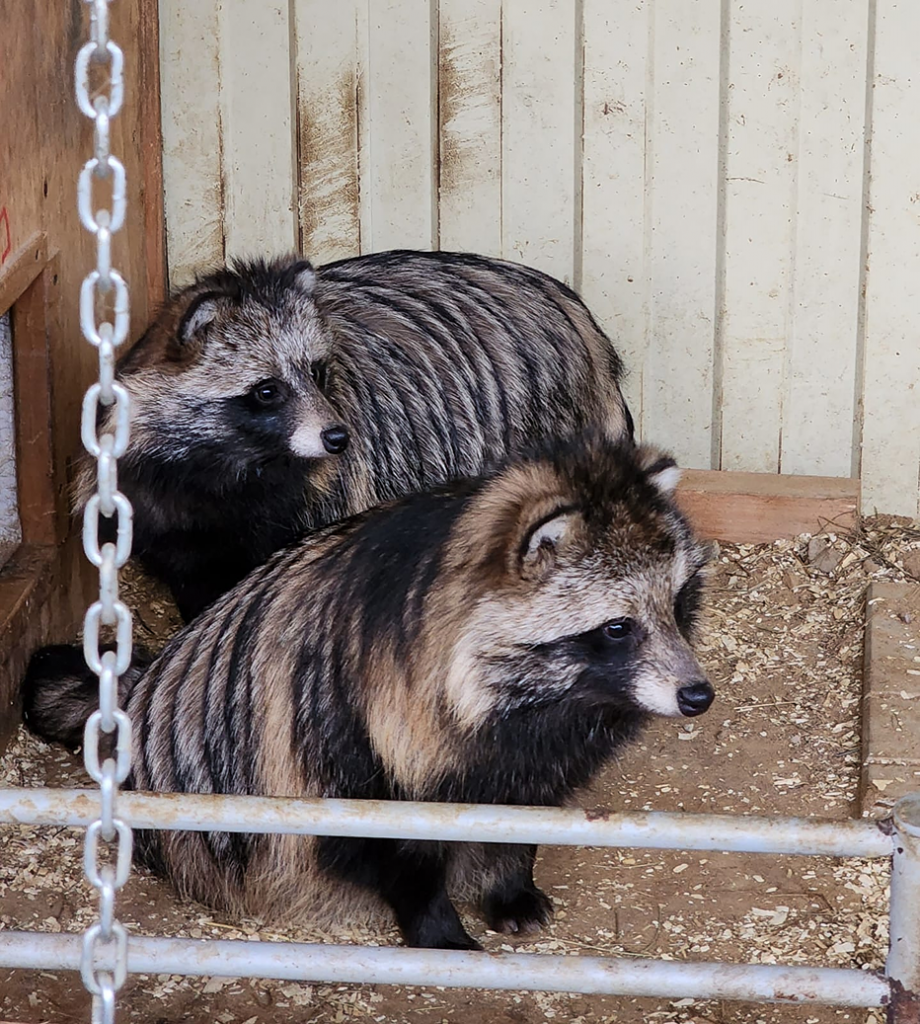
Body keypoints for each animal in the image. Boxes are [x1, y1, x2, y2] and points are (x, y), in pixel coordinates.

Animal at [23, 436, 708, 946]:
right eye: (618, 627)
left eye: (677, 604)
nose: (697, 695)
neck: (544, 701)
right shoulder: (345, 730)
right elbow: (386, 842)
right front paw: (434, 923)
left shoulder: (528, 749)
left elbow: (519, 808)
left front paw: (510, 879)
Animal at [78, 249, 631, 614]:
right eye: (267, 390)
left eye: (320, 372)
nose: (337, 439)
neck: (237, 463)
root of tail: (571, 309)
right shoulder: (167, 514)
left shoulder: (316, 503)